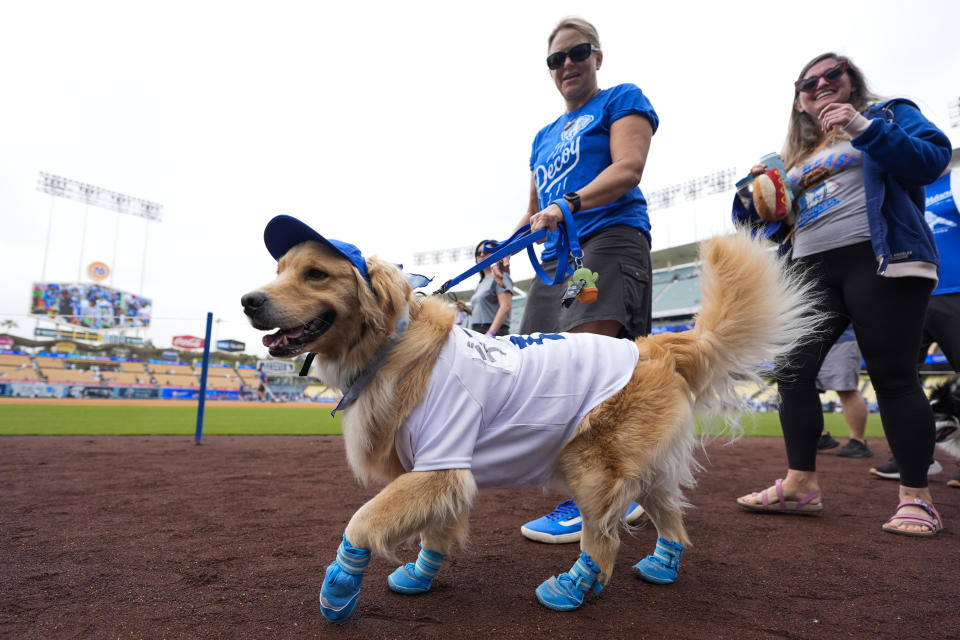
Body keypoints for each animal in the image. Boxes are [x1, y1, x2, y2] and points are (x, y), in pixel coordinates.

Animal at [242, 215, 816, 620]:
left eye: (316, 274)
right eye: (280, 272)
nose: (248, 300)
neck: (392, 344)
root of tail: (657, 344)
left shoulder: (441, 463)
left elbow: (362, 522)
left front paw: (340, 586)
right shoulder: (437, 473)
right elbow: (436, 531)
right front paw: (421, 576)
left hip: (591, 465)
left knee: (604, 539)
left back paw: (570, 588)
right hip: (645, 467)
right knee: (671, 517)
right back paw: (660, 565)